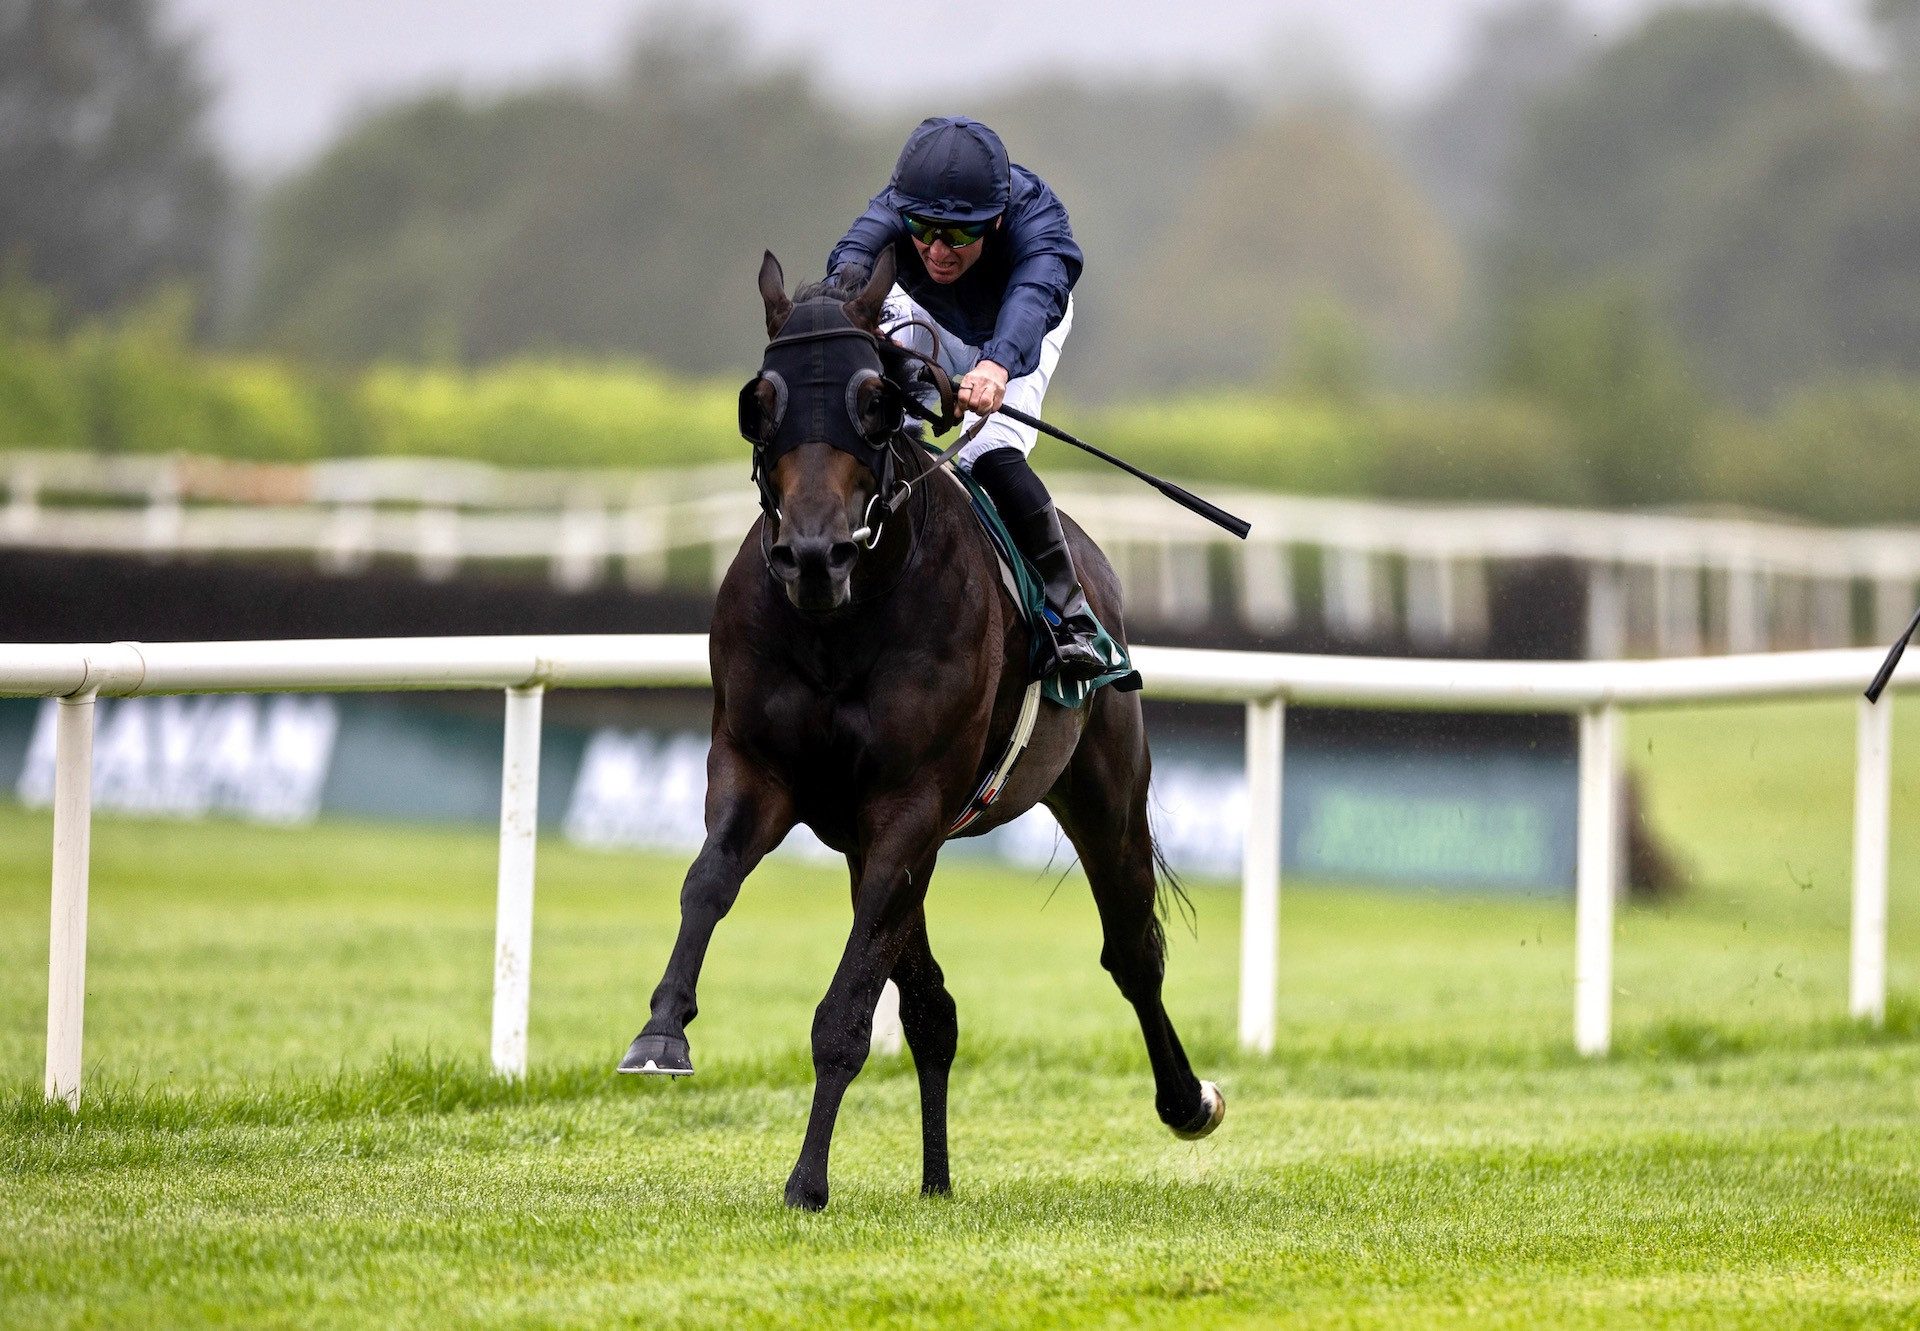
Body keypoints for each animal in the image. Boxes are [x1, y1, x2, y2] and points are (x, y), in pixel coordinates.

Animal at [614, 245, 1221, 1206]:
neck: (842, 620)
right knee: (933, 1003)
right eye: (761, 400)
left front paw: (807, 1179)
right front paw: (661, 1031)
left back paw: (1186, 1098)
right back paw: (936, 1178)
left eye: (873, 399)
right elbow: (707, 882)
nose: (813, 554)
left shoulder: (909, 806)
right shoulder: (758, 770)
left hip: (1103, 789)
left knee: (1132, 951)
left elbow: (847, 1007)